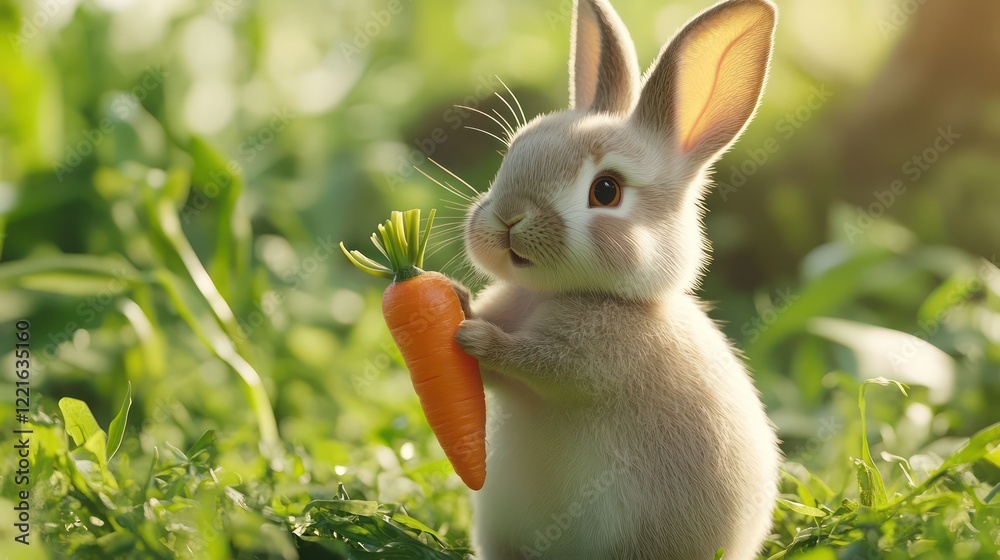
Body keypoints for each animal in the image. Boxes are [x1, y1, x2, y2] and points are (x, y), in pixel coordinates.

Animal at [449, 0, 781, 558]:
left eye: (606, 190)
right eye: (513, 151)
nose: (508, 218)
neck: (558, 295)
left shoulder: (590, 362)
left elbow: (535, 363)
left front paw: (474, 336)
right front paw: (453, 300)